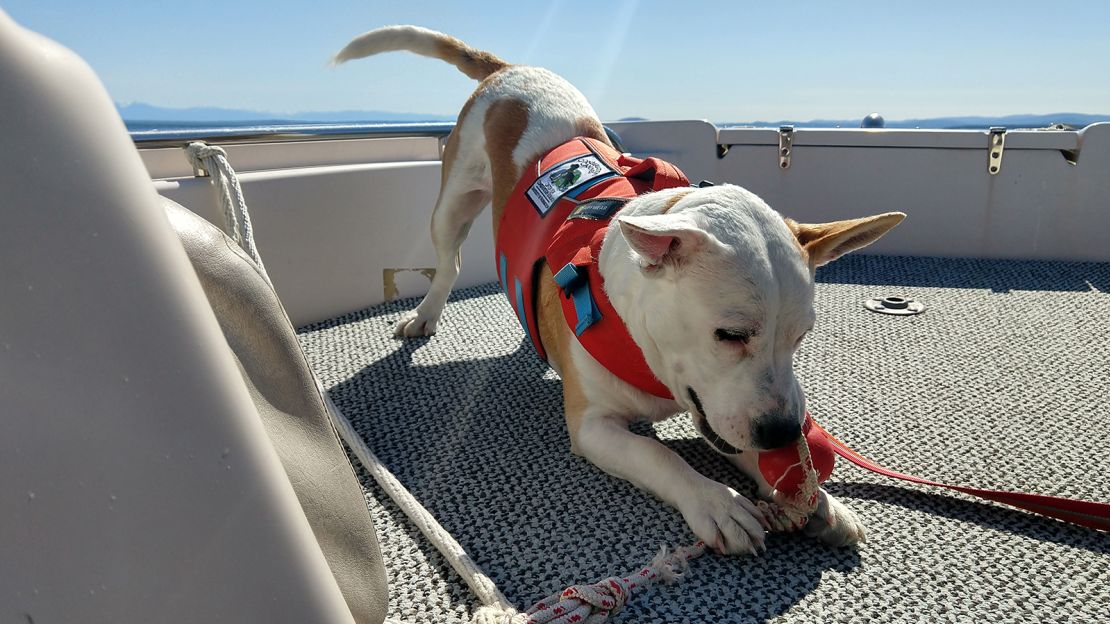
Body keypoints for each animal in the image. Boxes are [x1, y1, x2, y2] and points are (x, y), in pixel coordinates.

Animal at [335, 26, 901, 552]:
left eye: (801, 337)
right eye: (730, 335)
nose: (783, 432)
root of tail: (513, 68)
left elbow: (740, 446)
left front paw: (817, 499)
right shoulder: (594, 426)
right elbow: (658, 453)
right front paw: (716, 502)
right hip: (452, 201)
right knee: (448, 262)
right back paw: (426, 315)